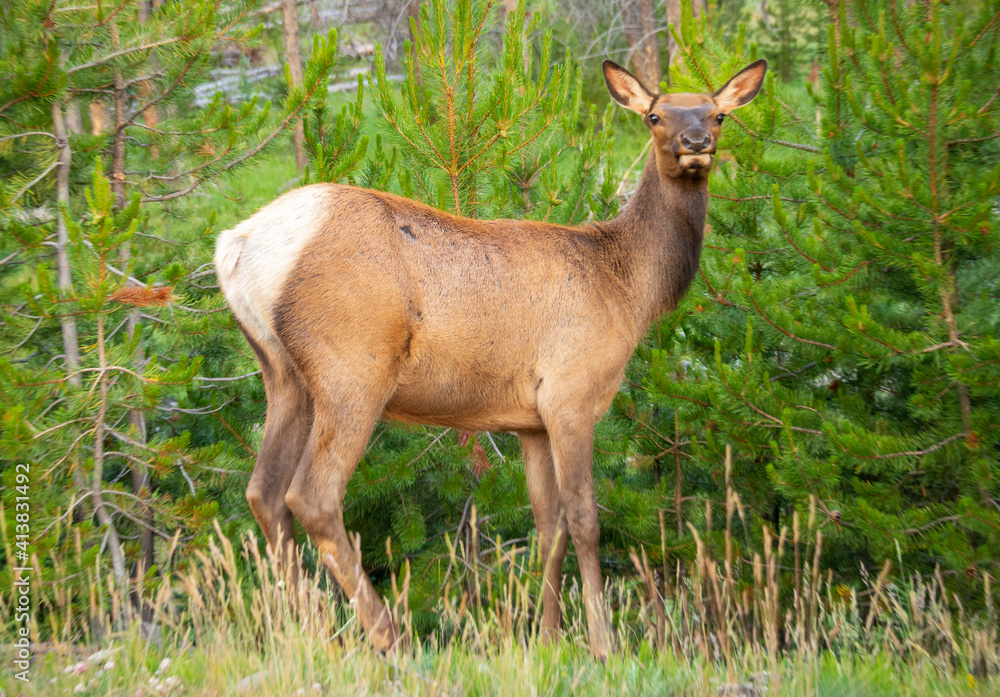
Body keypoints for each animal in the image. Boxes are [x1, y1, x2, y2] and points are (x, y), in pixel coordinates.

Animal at [214, 58, 767, 658]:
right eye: (654, 116)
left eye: (718, 114)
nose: (697, 142)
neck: (628, 288)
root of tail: (236, 245)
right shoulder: (571, 393)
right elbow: (586, 517)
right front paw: (601, 643)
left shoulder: (530, 421)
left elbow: (549, 527)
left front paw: (547, 638)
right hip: (353, 367)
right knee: (312, 496)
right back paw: (388, 636)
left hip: (283, 374)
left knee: (264, 492)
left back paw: (307, 633)